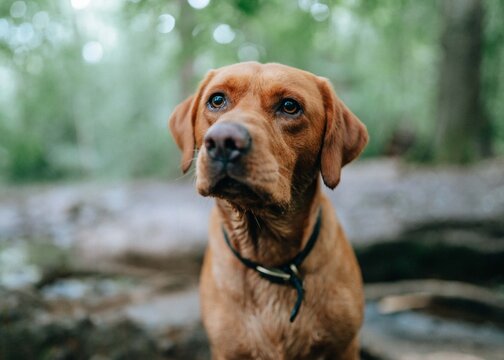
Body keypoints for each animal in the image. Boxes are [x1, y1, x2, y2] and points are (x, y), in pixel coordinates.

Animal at [168, 63, 366, 358]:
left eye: (289, 106)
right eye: (217, 100)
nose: (223, 141)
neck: (268, 255)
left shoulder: (344, 346)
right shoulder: (226, 349)